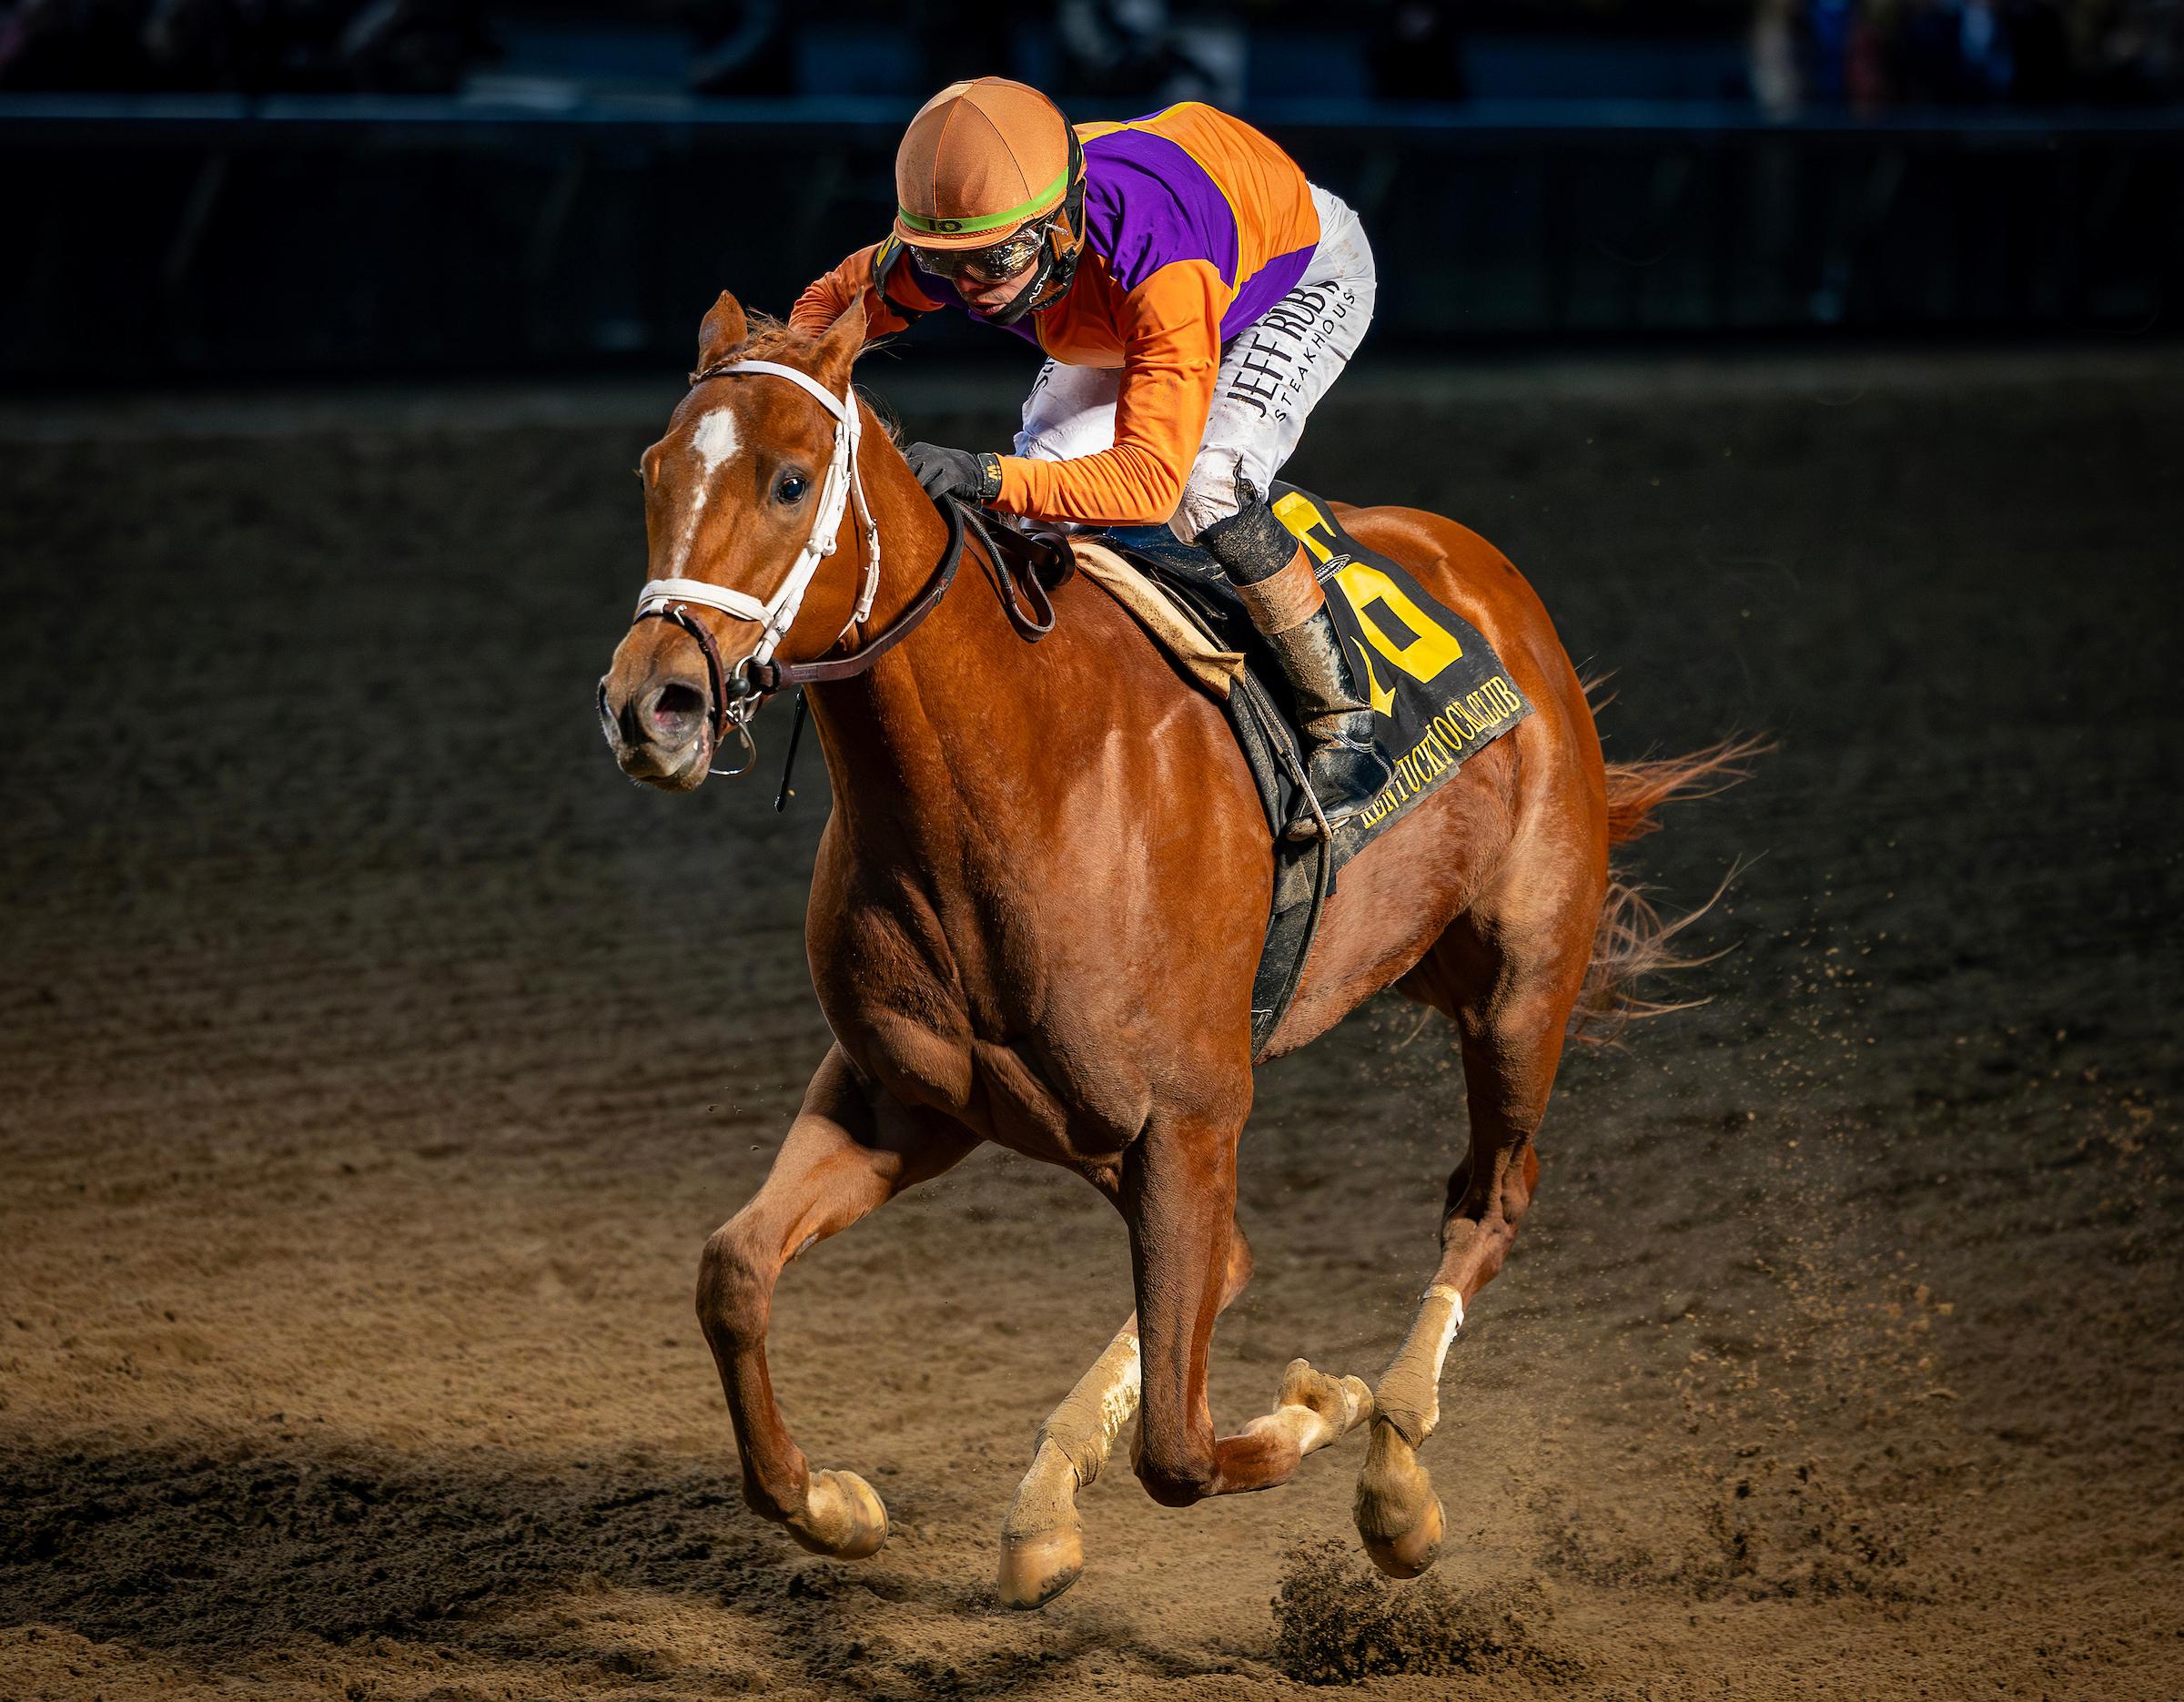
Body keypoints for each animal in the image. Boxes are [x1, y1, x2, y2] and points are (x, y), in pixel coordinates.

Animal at [597, 290, 1747, 1609]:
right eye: (655, 471)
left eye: (790, 481)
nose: (651, 703)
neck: (1018, 776)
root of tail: (1494, 577)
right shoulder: (908, 1098)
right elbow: (733, 1271)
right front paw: (833, 1503)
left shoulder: (1190, 1116)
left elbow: (1181, 1451)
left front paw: (1325, 1406)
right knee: (1228, 1263)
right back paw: (1054, 1505)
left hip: (1519, 983)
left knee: (1487, 1200)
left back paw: (1395, 1476)